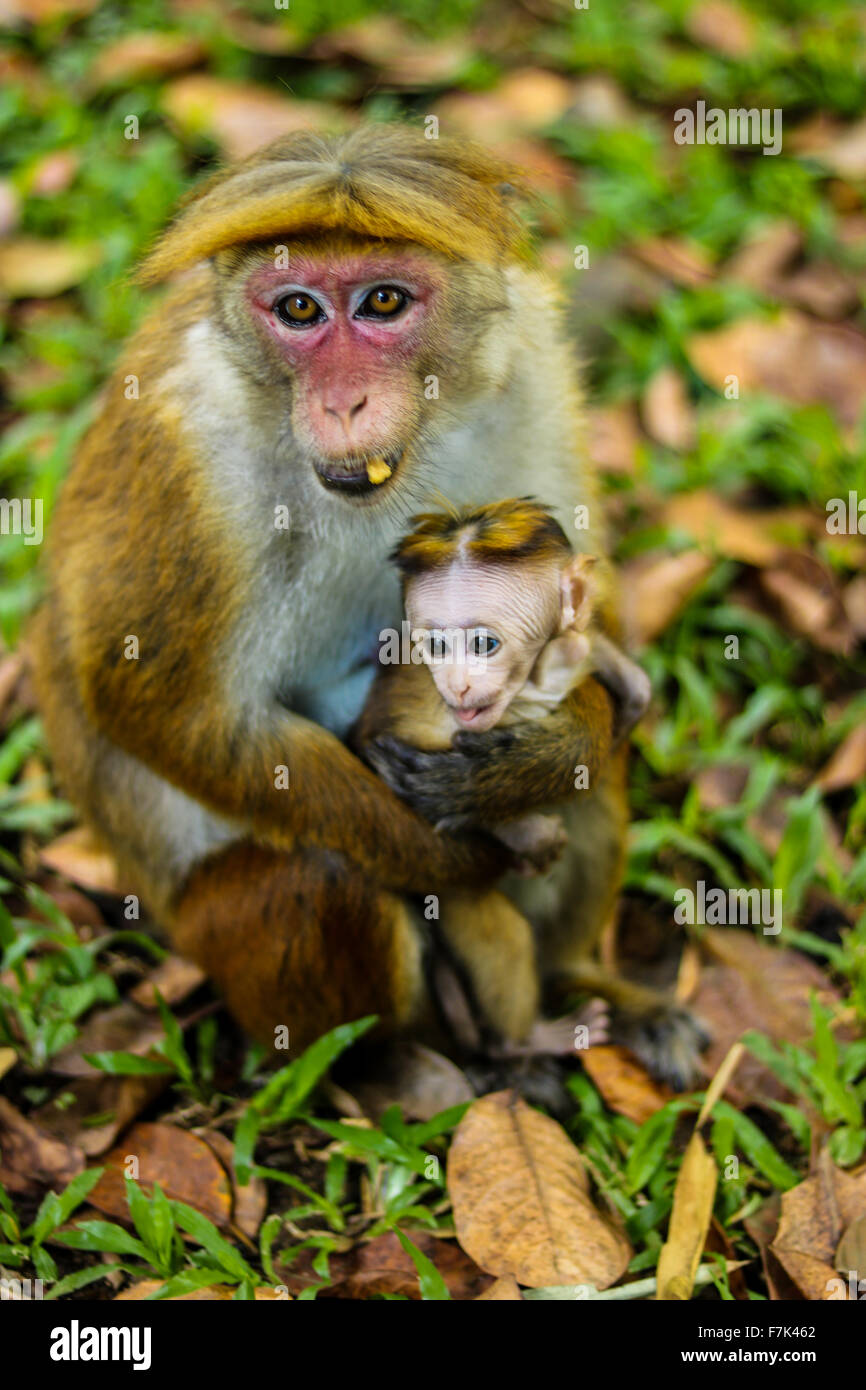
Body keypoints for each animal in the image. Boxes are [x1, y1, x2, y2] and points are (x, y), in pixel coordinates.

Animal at [29, 125, 705, 1088]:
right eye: (298, 310)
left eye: (384, 301)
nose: (343, 400)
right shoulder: (187, 458)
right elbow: (174, 715)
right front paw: (464, 854)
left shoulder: (529, 364)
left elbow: (586, 600)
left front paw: (544, 758)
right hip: (209, 930)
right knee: (322, 875)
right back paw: (394, 1068)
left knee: (601, 776)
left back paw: (578, 984)